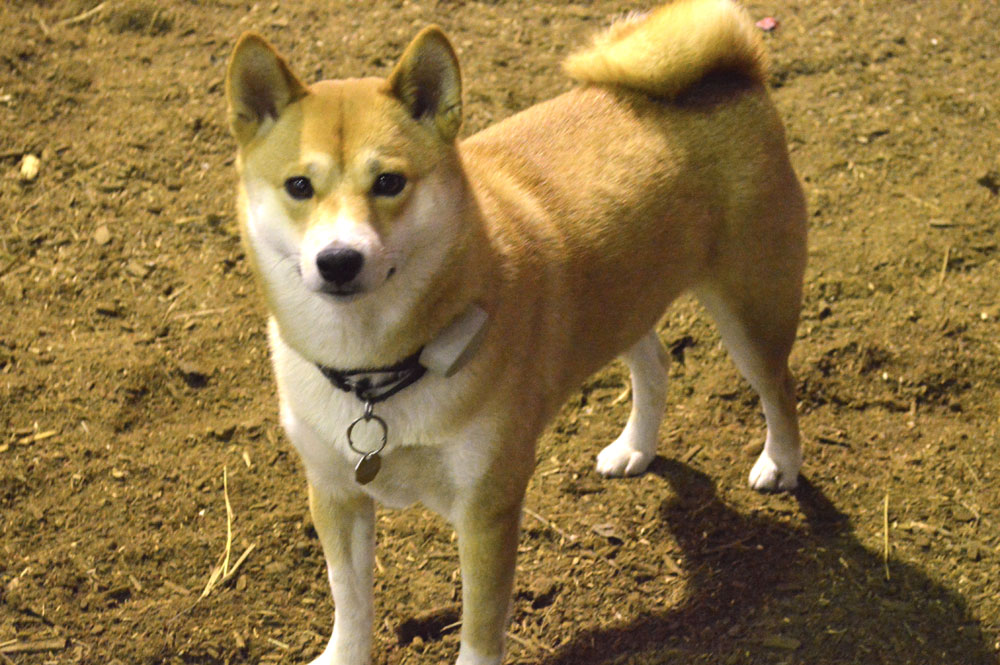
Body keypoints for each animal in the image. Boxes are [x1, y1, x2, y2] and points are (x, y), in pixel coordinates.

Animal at [225, 0, 804, 660]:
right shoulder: (335, 494)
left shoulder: (487, 507)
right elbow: (349, 604)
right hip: (622, 301)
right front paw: (344, 653)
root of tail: (736, 70)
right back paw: (635, 446)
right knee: (655, 363)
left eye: (389, 182)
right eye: (299, 186)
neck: (375, 370)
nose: (339, 260)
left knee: (779, 388)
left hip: (752, 311)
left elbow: (479, 627)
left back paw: (781, 464)